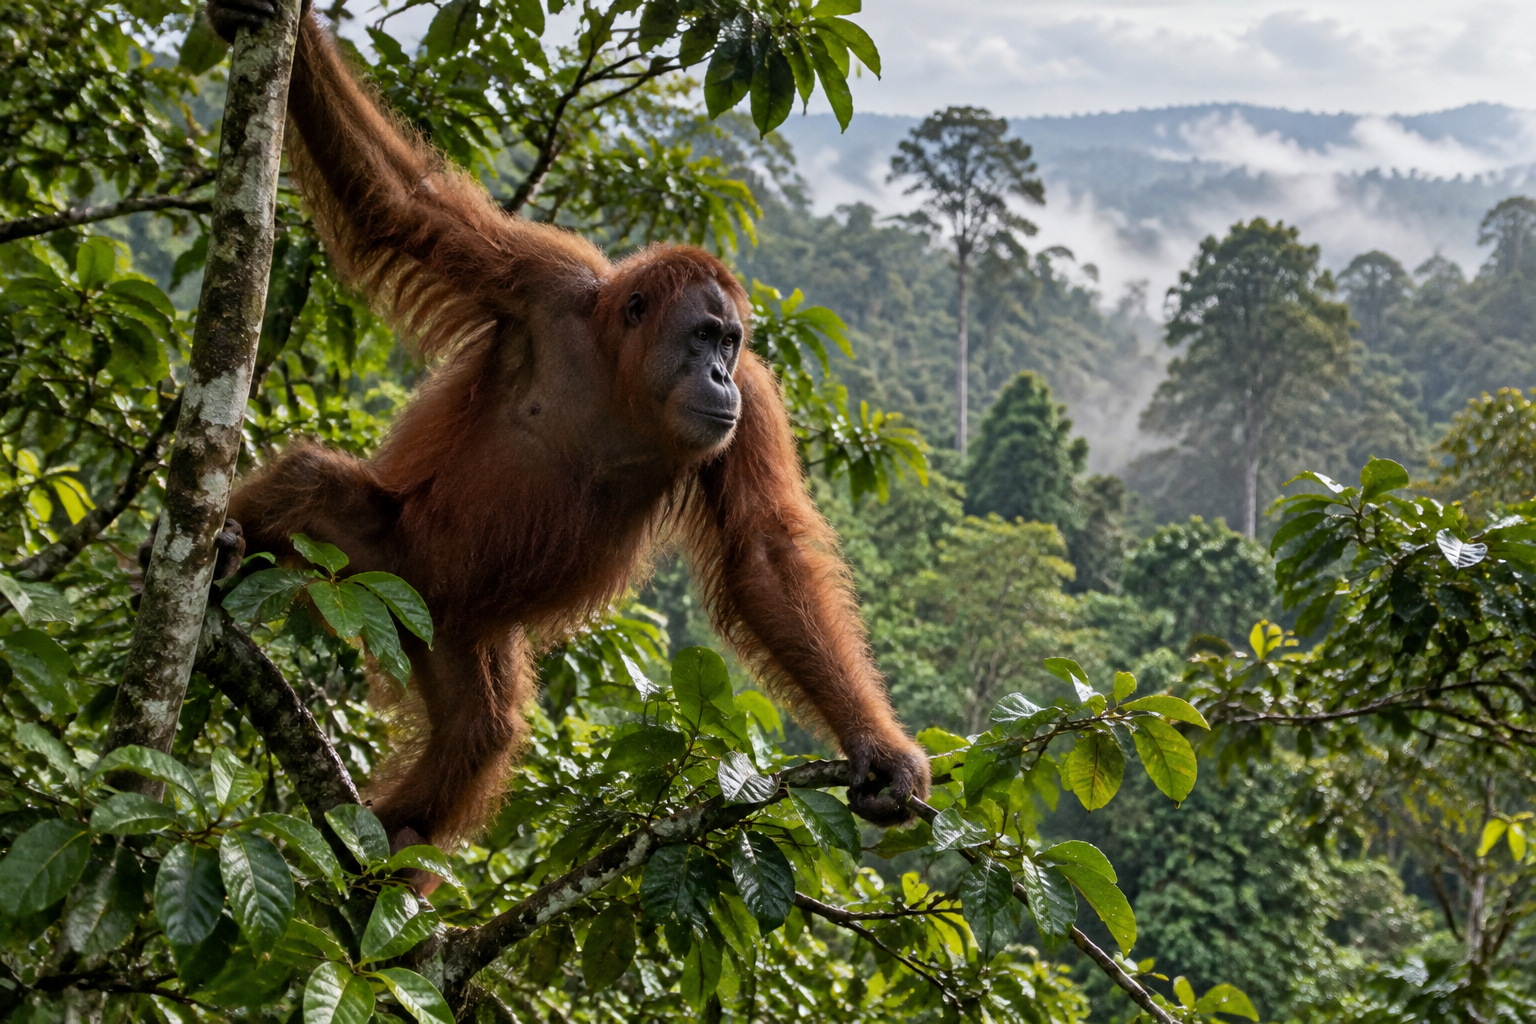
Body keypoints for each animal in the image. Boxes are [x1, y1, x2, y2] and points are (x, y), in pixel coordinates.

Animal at [204, 0, 931, 853]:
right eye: (703, 336)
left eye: (730, 343)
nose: (720, 374)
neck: (623, 377)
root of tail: (417, 599)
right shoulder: (542, 279)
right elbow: (404, 207)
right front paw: (272, 21)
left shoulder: (751, 406)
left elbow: (764, 550)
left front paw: (878, 750)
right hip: (378, 554)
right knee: (314, 486)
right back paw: (223, 551)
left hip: (452, 630)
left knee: (479, 733)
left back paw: (389, 851)